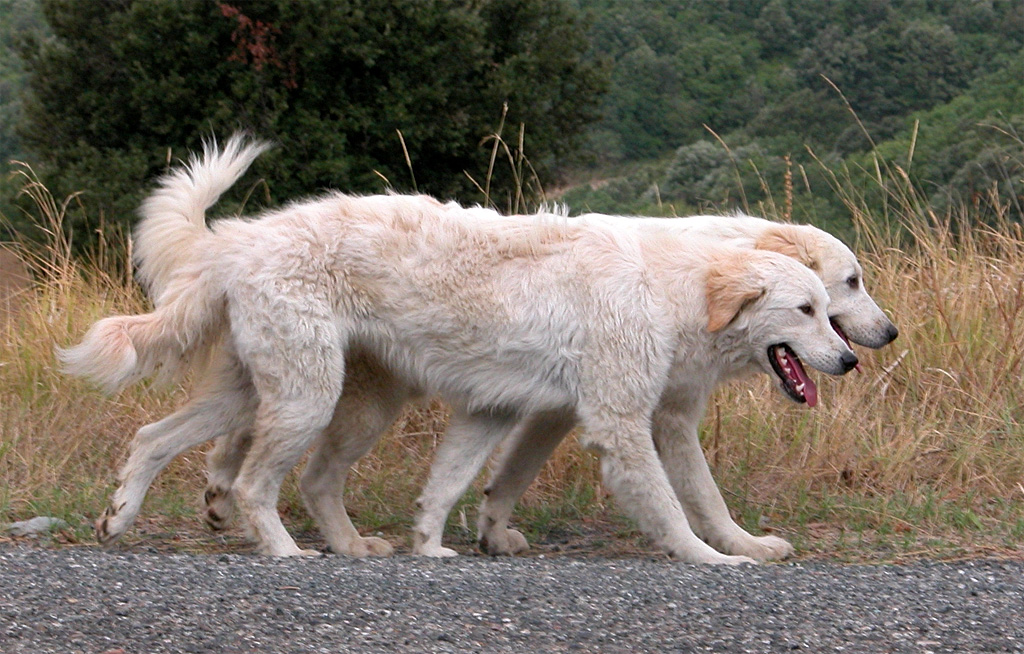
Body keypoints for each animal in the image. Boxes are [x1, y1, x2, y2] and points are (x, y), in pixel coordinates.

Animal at [59, 137, 860, 564]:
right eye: (812, 307)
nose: (855, 359)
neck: (673, 285)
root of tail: (239, 241)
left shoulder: (494, 411)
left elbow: (447, 485)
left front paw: (431, 545)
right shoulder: (623, 424)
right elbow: (673, 505)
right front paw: (711, 557)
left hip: (277, 393)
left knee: (160, 438)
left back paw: (124, 517)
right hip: (307, 396)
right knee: (258, 481)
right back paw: (284, 551)